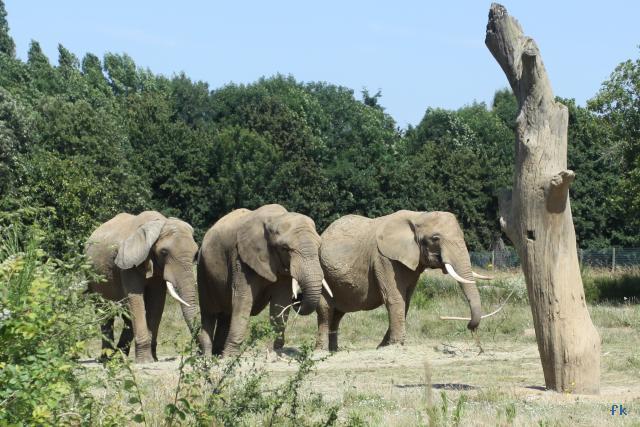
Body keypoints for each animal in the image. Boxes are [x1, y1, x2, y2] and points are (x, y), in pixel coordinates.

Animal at [85, 211, 199, 363]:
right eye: (164, 252)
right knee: (104, 312)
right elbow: (135, 298)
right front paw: (145, 361)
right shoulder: (128, 263)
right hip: (91, 276)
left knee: (126, 315)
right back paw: (106, 359)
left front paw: (153, 359)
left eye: (196, 254)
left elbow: (156, 302)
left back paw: (119, 357)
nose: (201, 353)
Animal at [197, 204, 332, 356]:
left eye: (319, 246)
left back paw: (217, 353)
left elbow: (280, 302)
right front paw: (230, 357)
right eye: (285, 248)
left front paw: (275, 351)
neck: (276, 218)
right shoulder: (240, 258)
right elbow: (243, 300)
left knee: (225, 315)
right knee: (209, 313)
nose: (298, 297)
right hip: (202, 269)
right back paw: (208, 356)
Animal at [315, 210, 486, 351]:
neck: (418, 216)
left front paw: (384, 346)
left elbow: (406, 301)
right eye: (435, 238)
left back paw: (334, 350)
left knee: (338, 313)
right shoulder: (383, 259)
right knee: (325, 309)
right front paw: (395, 344)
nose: (470, 327)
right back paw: (321, 350)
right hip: (321, 272)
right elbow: (395, 298)